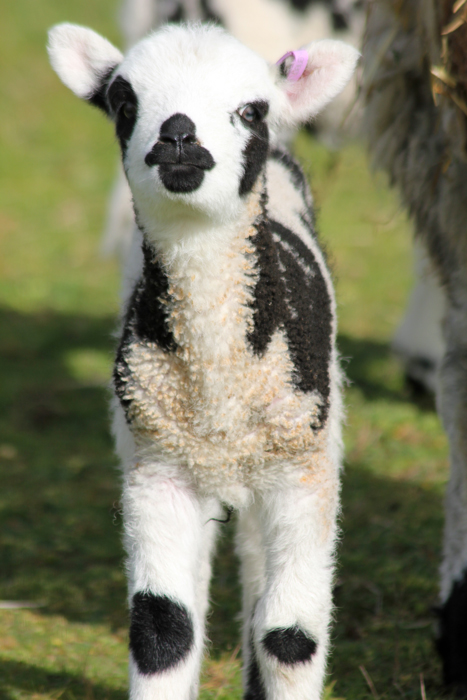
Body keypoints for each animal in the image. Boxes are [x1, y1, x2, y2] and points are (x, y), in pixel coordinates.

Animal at [48, 21, 358, 700]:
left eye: (251, 110)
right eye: (124, 103)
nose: (178, 136)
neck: (219, 384)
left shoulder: (301, 473)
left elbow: (290, 635)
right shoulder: (158, 472)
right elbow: (164, 628)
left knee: (258, 575)